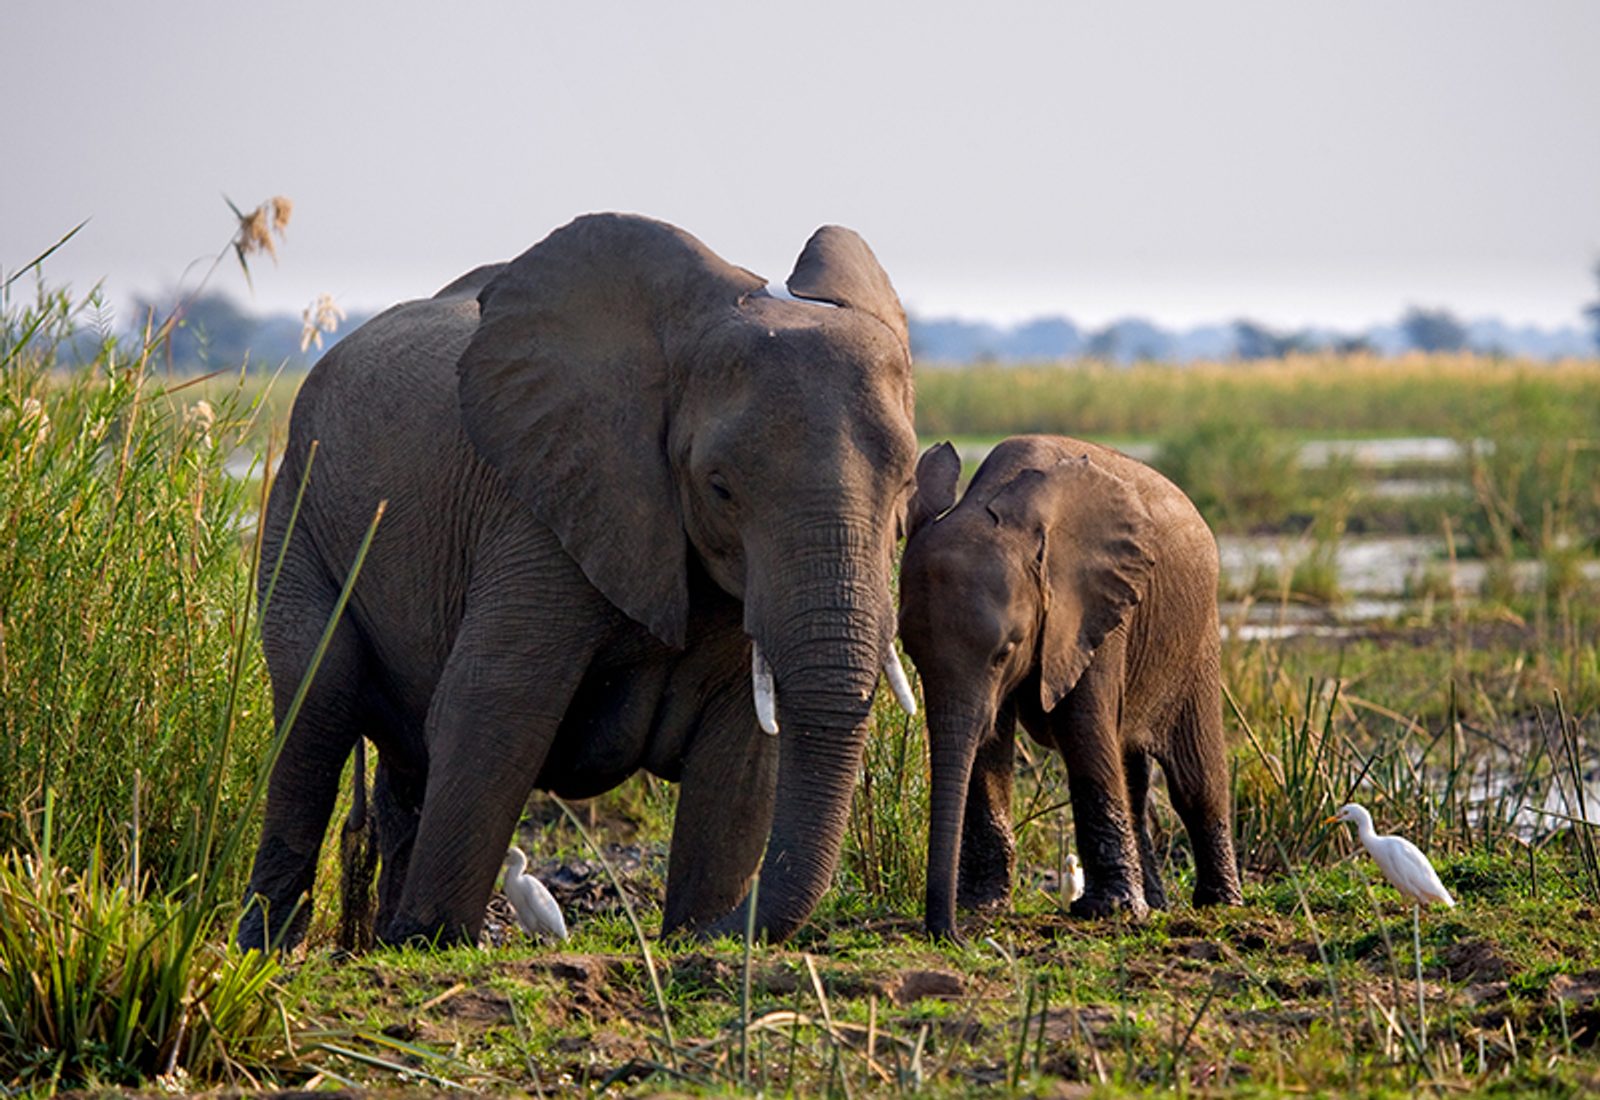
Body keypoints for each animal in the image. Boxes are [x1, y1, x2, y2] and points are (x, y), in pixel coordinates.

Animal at [236, 213, 920, 950]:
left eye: (909, 483)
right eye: (720, 488)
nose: (700, 935)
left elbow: (740, 751)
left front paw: (696, 934)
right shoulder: (541, 508)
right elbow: (493, 702)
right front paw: (433, 939)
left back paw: (377, 938)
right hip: (298, 510)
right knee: (317, 706)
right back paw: (272, 947)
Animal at [898, 435, 1243, 938]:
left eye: (1006, 650)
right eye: (911, 652)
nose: (949, 932)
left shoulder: (1092, 608)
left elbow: (1082, 730)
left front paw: (1111, 911)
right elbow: (988, 742)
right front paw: (983, 906)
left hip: (1196, 635)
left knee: (1195, 777)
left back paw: (1219, 905)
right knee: (1133, 774)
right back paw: (1157, 904)